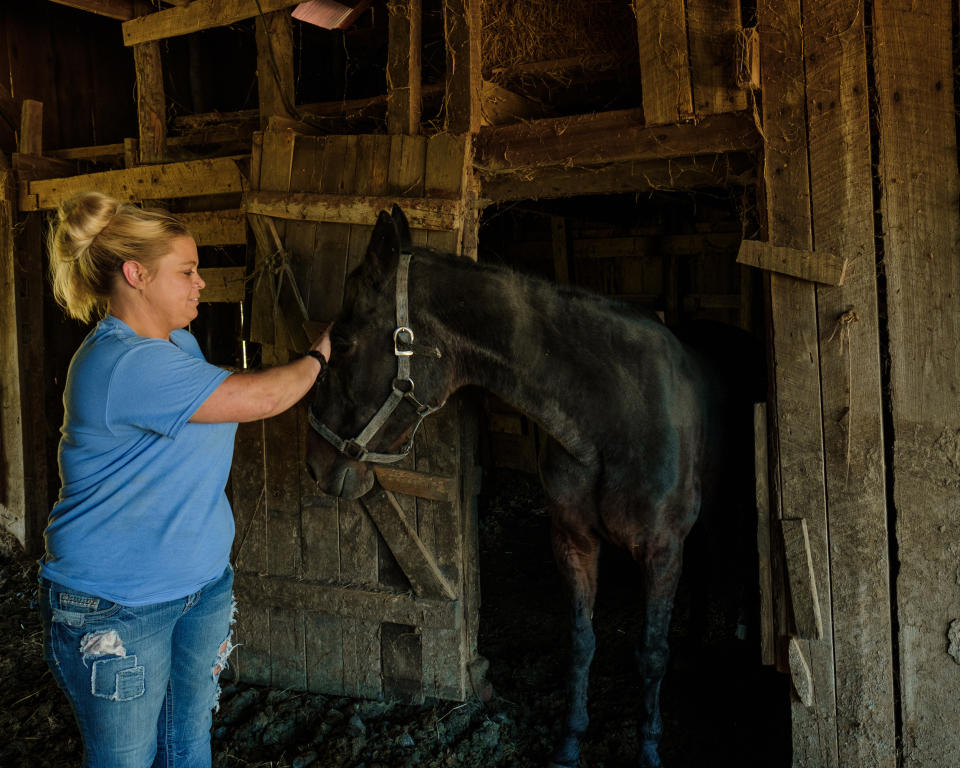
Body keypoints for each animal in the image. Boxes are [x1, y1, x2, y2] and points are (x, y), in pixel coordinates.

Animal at [304, 204, 760, 768]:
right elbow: (582, 643)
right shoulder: (574, 543)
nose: (315, 464)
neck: (612, 416)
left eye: (344, 343)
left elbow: (652, 652)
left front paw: (649, 750)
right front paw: (569, 742)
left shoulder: (661, 549)